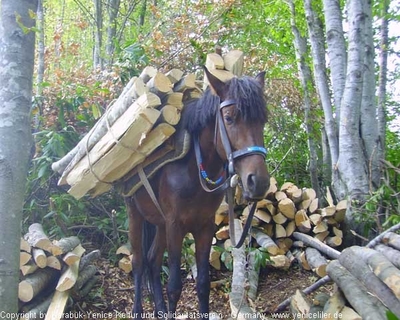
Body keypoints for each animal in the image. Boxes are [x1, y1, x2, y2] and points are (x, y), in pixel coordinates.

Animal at [124, 67, 268, 318]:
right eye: (229, 118)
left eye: (263, 121)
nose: (257, 182)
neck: (193, 169)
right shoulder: (175, 225)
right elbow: (174, 287)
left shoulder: (204, 226)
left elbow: (202, 284)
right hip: (136, 214)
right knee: (139, 262)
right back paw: (138, 311)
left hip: (159, 223)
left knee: (152, 261)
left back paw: (159, 309)